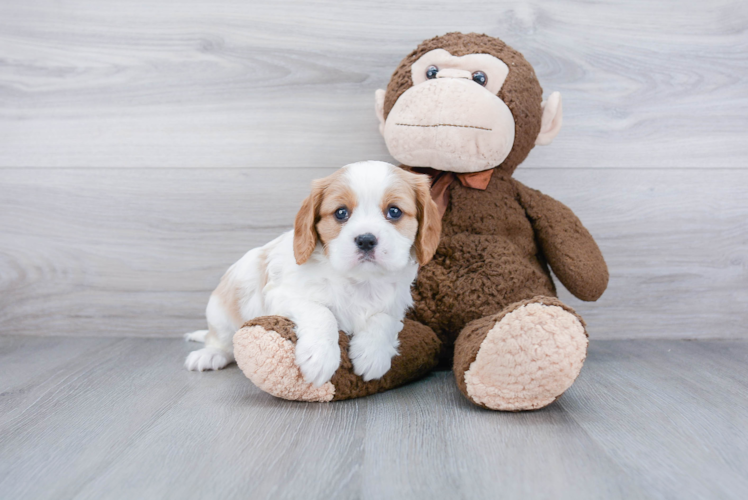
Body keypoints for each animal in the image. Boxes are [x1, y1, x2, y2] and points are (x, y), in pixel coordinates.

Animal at [186, 161, 442, 386]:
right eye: (341, 213)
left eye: (394, 211)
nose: (366, 240)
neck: (360, 281)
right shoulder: (282, 295)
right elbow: (321, 312)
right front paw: (320, 357)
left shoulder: (395, 306)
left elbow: (383, 319)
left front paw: (372, 354)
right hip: (222, 311)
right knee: (220, 341)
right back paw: (210, 355)